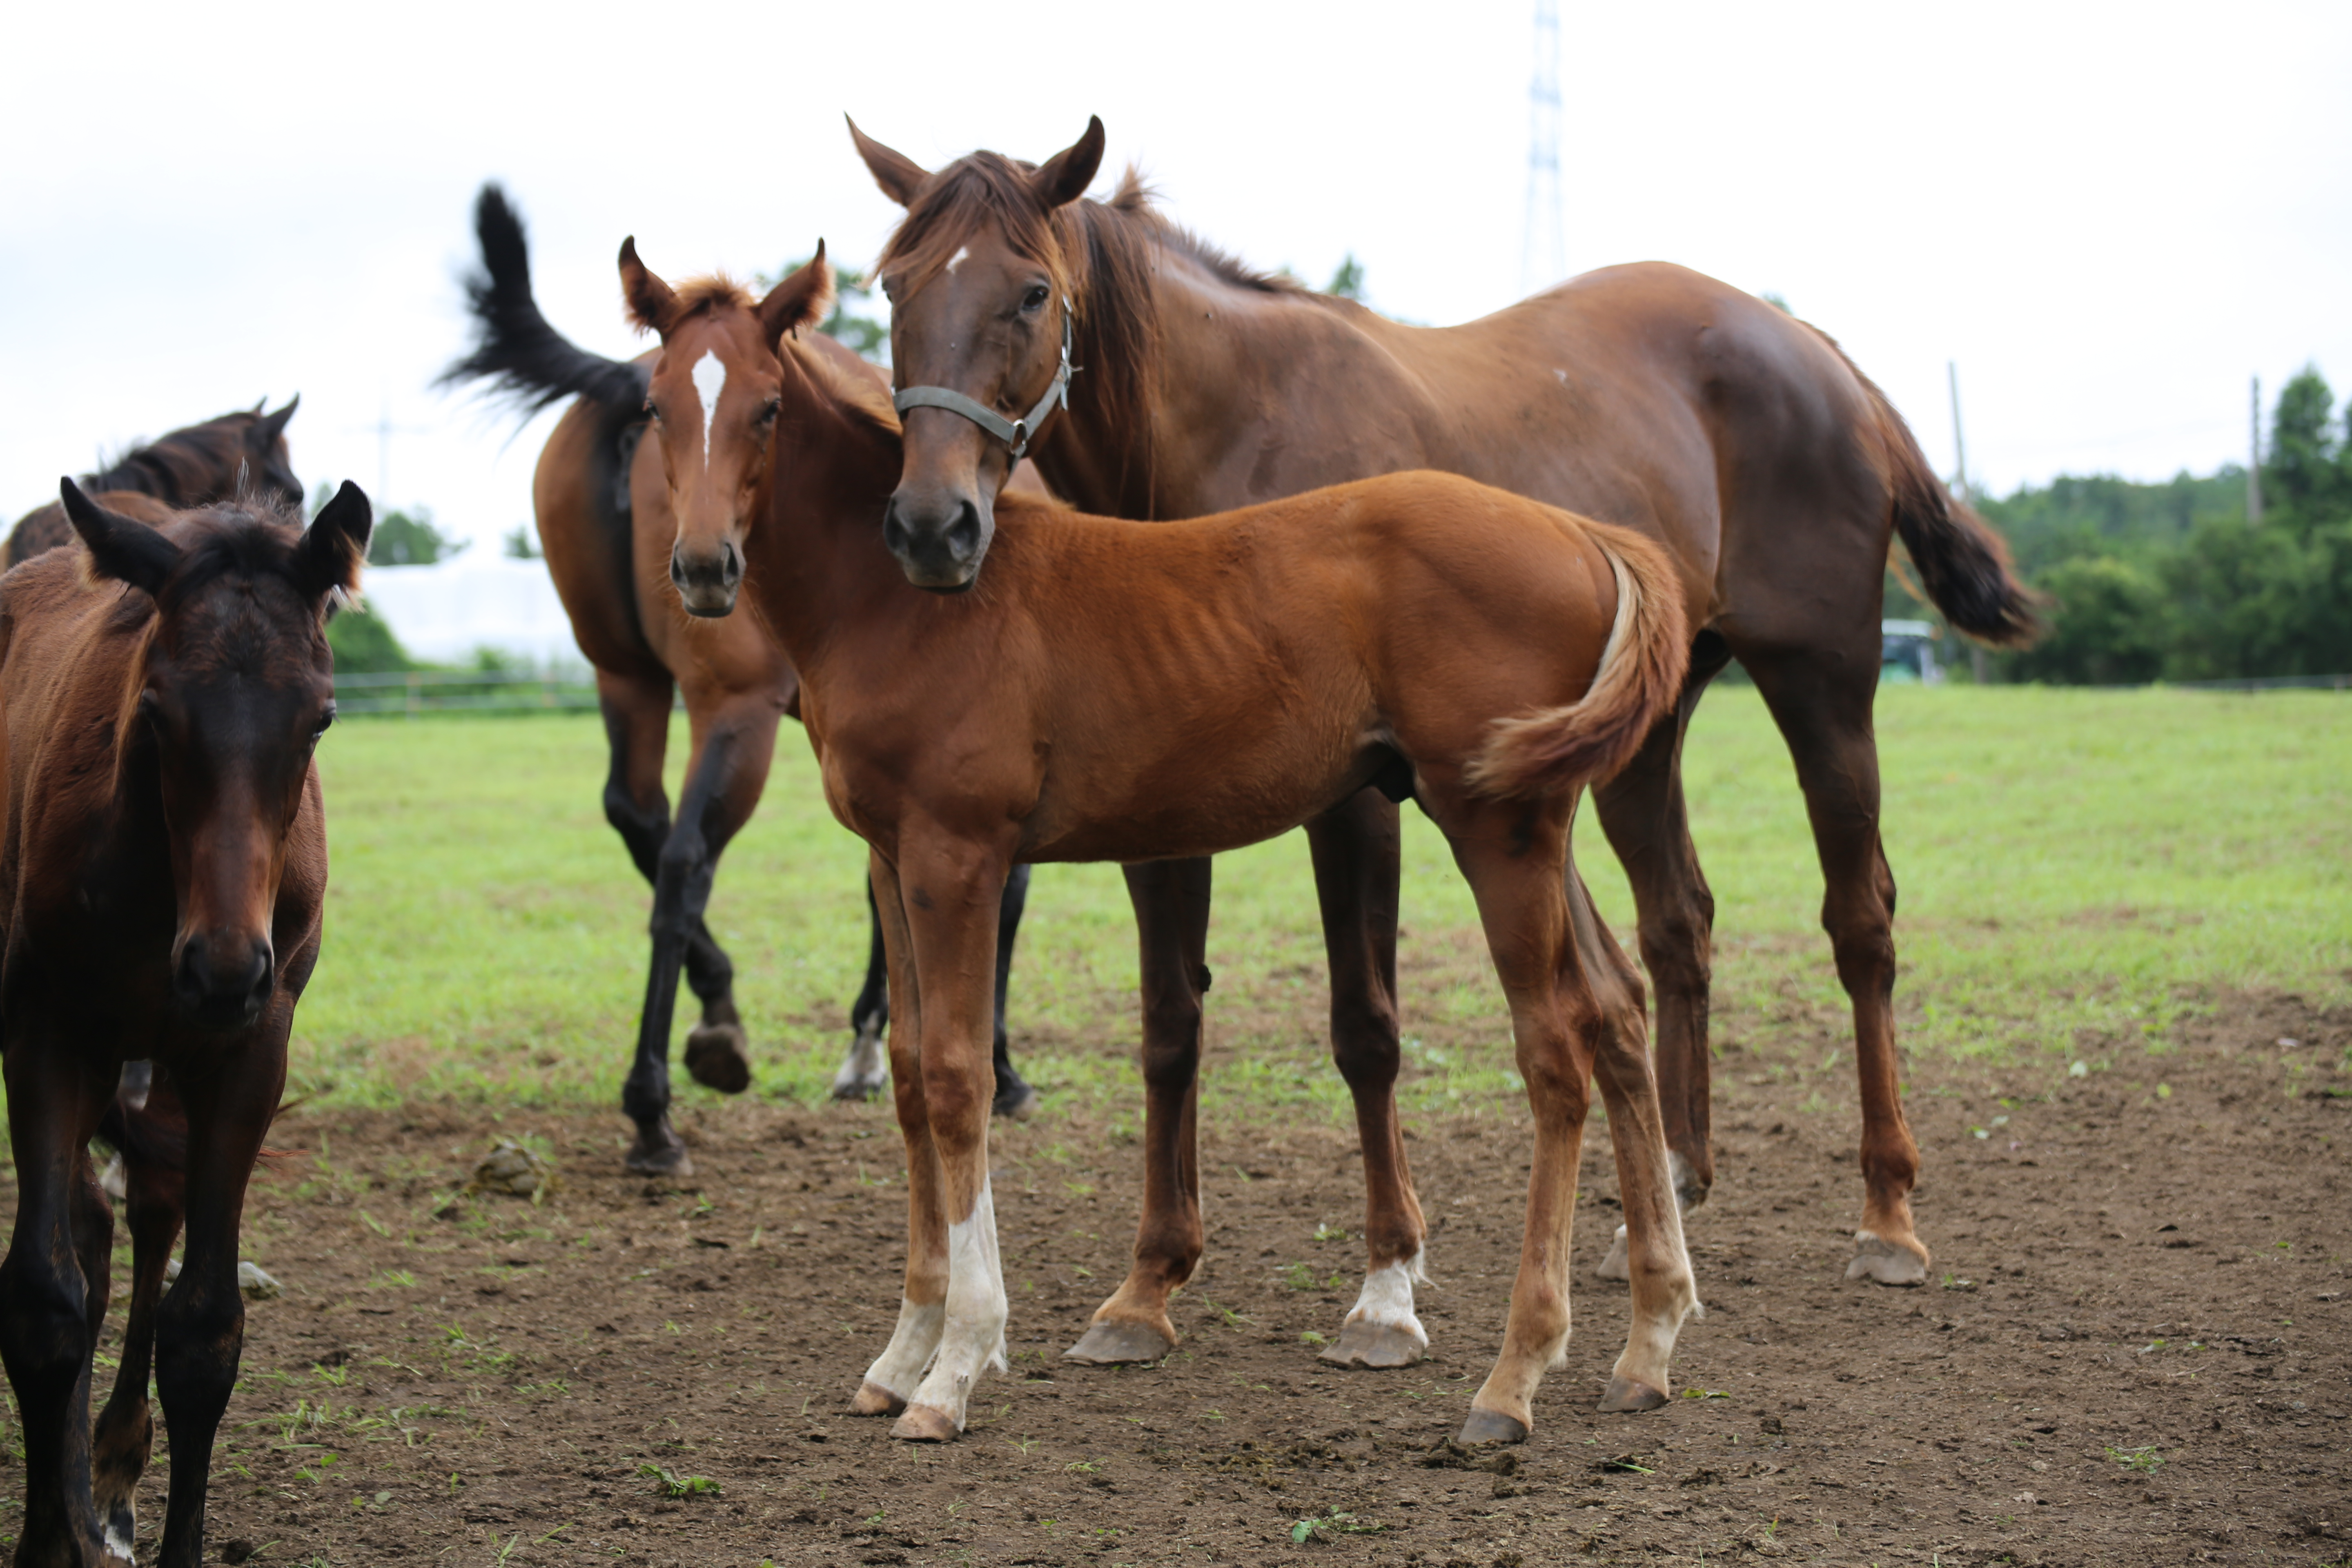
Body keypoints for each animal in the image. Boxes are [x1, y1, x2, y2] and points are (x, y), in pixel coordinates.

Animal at [0, 479, 369, 1568]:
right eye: (157, 712)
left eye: (320, 718)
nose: (221, 968)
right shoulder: (46, 1031)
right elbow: (44, 1296)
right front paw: (47, 1535)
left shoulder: (247, 1052)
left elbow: (203, 1328)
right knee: (91, 1231)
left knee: (150, 1204)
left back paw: (114, 1473)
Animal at [435, 184, 1039, 1171]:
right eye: (663, 412)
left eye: (766, 409)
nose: (705, 565)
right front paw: (988, 1060)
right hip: (735, 711)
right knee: (684, 858)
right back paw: (654, 1104)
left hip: (626, 678)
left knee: (636, 818)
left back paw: (717, 1011)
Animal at [616, 240, 1703, 1457]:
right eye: (654, 408)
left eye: (764, 409)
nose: (702, 569)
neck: (897, 600)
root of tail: (1585, 533)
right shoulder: (892, 863)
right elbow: (902, 1072)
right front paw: (900, 1354)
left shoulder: (958, 856)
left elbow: (956, 1078)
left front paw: (958, 1364)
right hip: (1534, 820)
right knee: (1613, 1007)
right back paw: (1648, 1344)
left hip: (1495, 829)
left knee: (1555, 1047)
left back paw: (1512, 1378)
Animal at [851, 122, 2041, 1363]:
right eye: (891, 286)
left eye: (1031, 292)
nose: (931, 526)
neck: (1230, 431)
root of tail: (1813, 350)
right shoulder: (1159, 805)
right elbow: (1170, 1025)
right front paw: (1147, 1284)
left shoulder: (1354, 805)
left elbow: (1365, 1027)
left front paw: (1386, 1287)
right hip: (1636, 744)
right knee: (1677, 927)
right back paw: (1667, 1190)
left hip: (1825, 688)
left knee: (1861, 922)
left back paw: (1886, 1213)